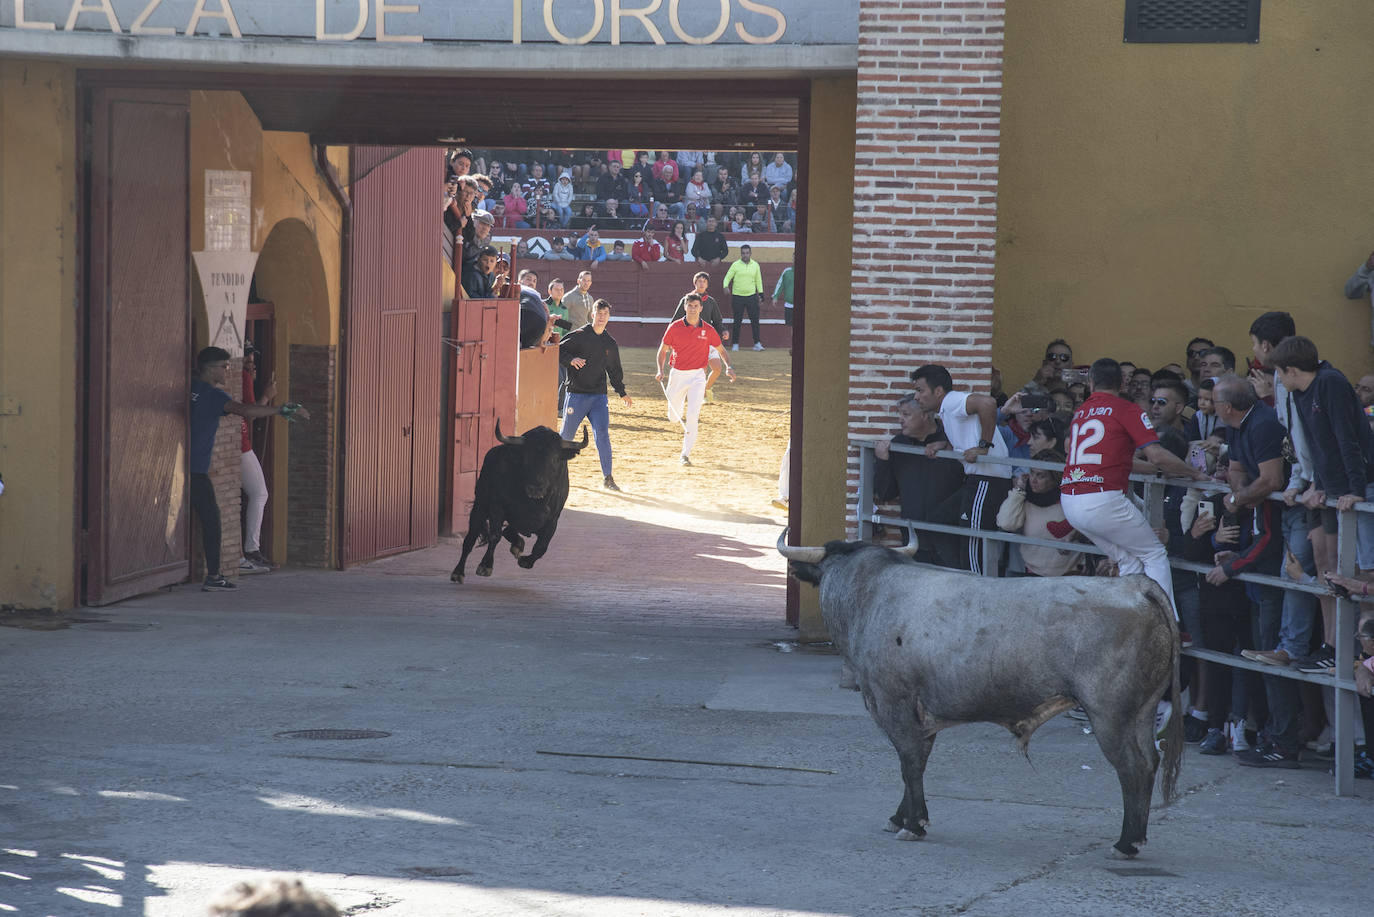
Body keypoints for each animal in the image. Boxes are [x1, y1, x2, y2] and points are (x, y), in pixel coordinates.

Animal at [447, 420, 582, 585]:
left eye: (555, 459)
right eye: (526, 457)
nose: (536, 487)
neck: (533, 503)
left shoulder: (553, 519)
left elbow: (542, 546)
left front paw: (525, 561)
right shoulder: (497, 508)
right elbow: (495, 535)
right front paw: (485, 566)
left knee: (509, 532)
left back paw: (518, 546)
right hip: (479, 507)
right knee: (470, 540)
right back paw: (458, 572)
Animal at [780, 533, 1187, 857]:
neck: (871, 594)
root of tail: (1135, 586)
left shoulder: (894, 704)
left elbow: (909, 763)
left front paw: (912, 825)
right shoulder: (921, 716)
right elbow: (916, 761)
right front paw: (903, 817)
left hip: (1109, 715)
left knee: (1131, 767)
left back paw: (1125, 843)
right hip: (1141, 710)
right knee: (1149, 762)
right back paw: (1136, 837)